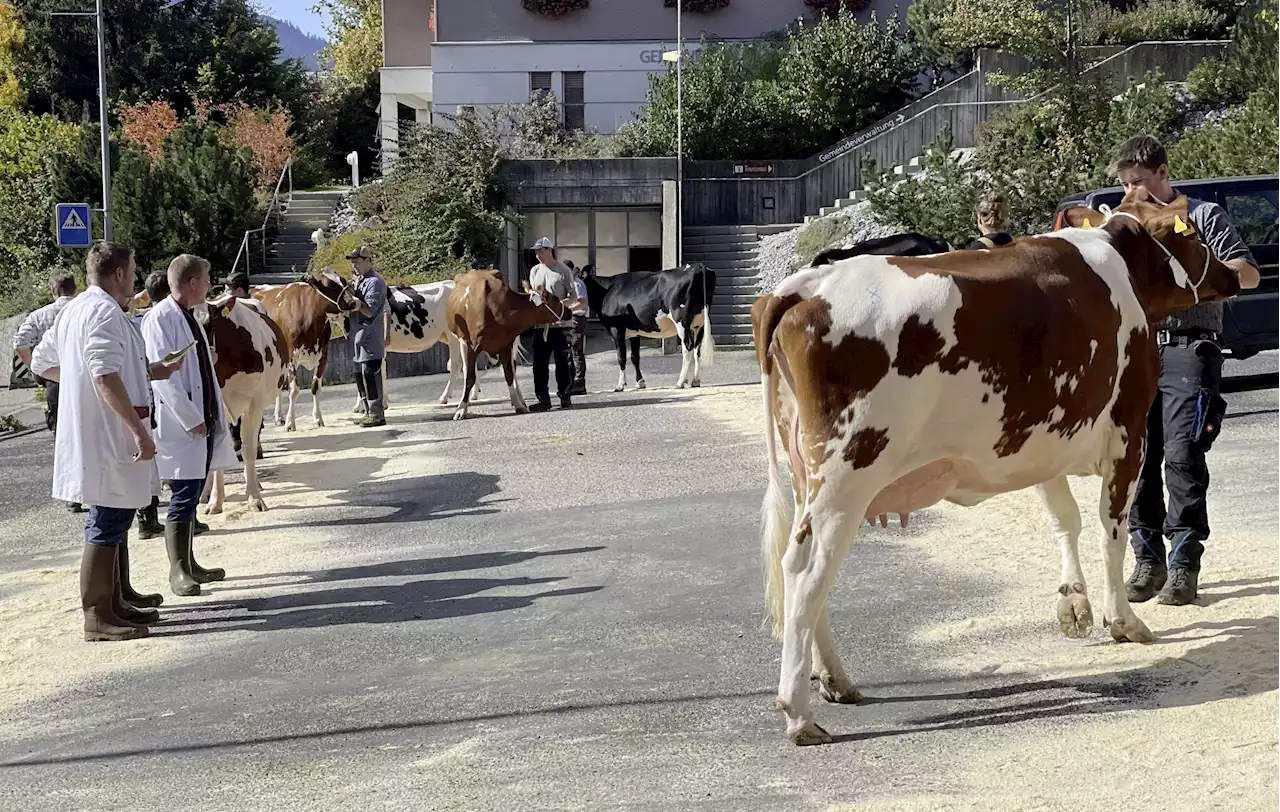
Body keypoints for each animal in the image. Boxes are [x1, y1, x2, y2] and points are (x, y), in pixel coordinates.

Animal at [194, 292, 290, 512]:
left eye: (208, 324)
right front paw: (215, 501)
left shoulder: (255, 403)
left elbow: (249, 450)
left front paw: (254, 497)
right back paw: (204, 493)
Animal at [249, 270, 355, 430]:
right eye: (330, 285)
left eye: (342, 281)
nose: (353, 302)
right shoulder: (292, 358)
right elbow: (294, 390)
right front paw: (290, 422)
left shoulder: (323, 355)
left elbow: (316, 387)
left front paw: (317, 418)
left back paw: (278, 417)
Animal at [445, 268, 576, 420]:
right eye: (554, 299)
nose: (569, 311)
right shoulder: (472, 346)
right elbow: (470, 378)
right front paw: (461, 409)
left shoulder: (507, 344)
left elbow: (509, 375)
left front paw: (519, 405)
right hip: (461, 341)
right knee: (466, 370)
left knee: (512, 371)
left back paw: (520, 401)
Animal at [583, 262, 716, 389]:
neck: (606, 291)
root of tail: (698, 266)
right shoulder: (634, 331)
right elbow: (635, 357)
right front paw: (640, 382)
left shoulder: (617, 329)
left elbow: (621, 357)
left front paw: (620, 385)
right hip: (699, 323)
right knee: (697, 351)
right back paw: (695, 381)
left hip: (681, 321)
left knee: (687, 349)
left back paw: (680, 382)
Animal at [747, 188, 1239, 737]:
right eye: (1194, 235)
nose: (1236, 273)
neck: (1120, 262)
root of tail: (805, 285)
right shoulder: (1128, 434)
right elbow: (1111, 530)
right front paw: (1123, 622)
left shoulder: (1043, 438)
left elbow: (1064, 519)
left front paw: (1074, 603)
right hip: (844, 477)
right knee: (806, 573)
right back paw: (799, 714)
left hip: (808, 475)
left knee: (813, 578)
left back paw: (836, 681)